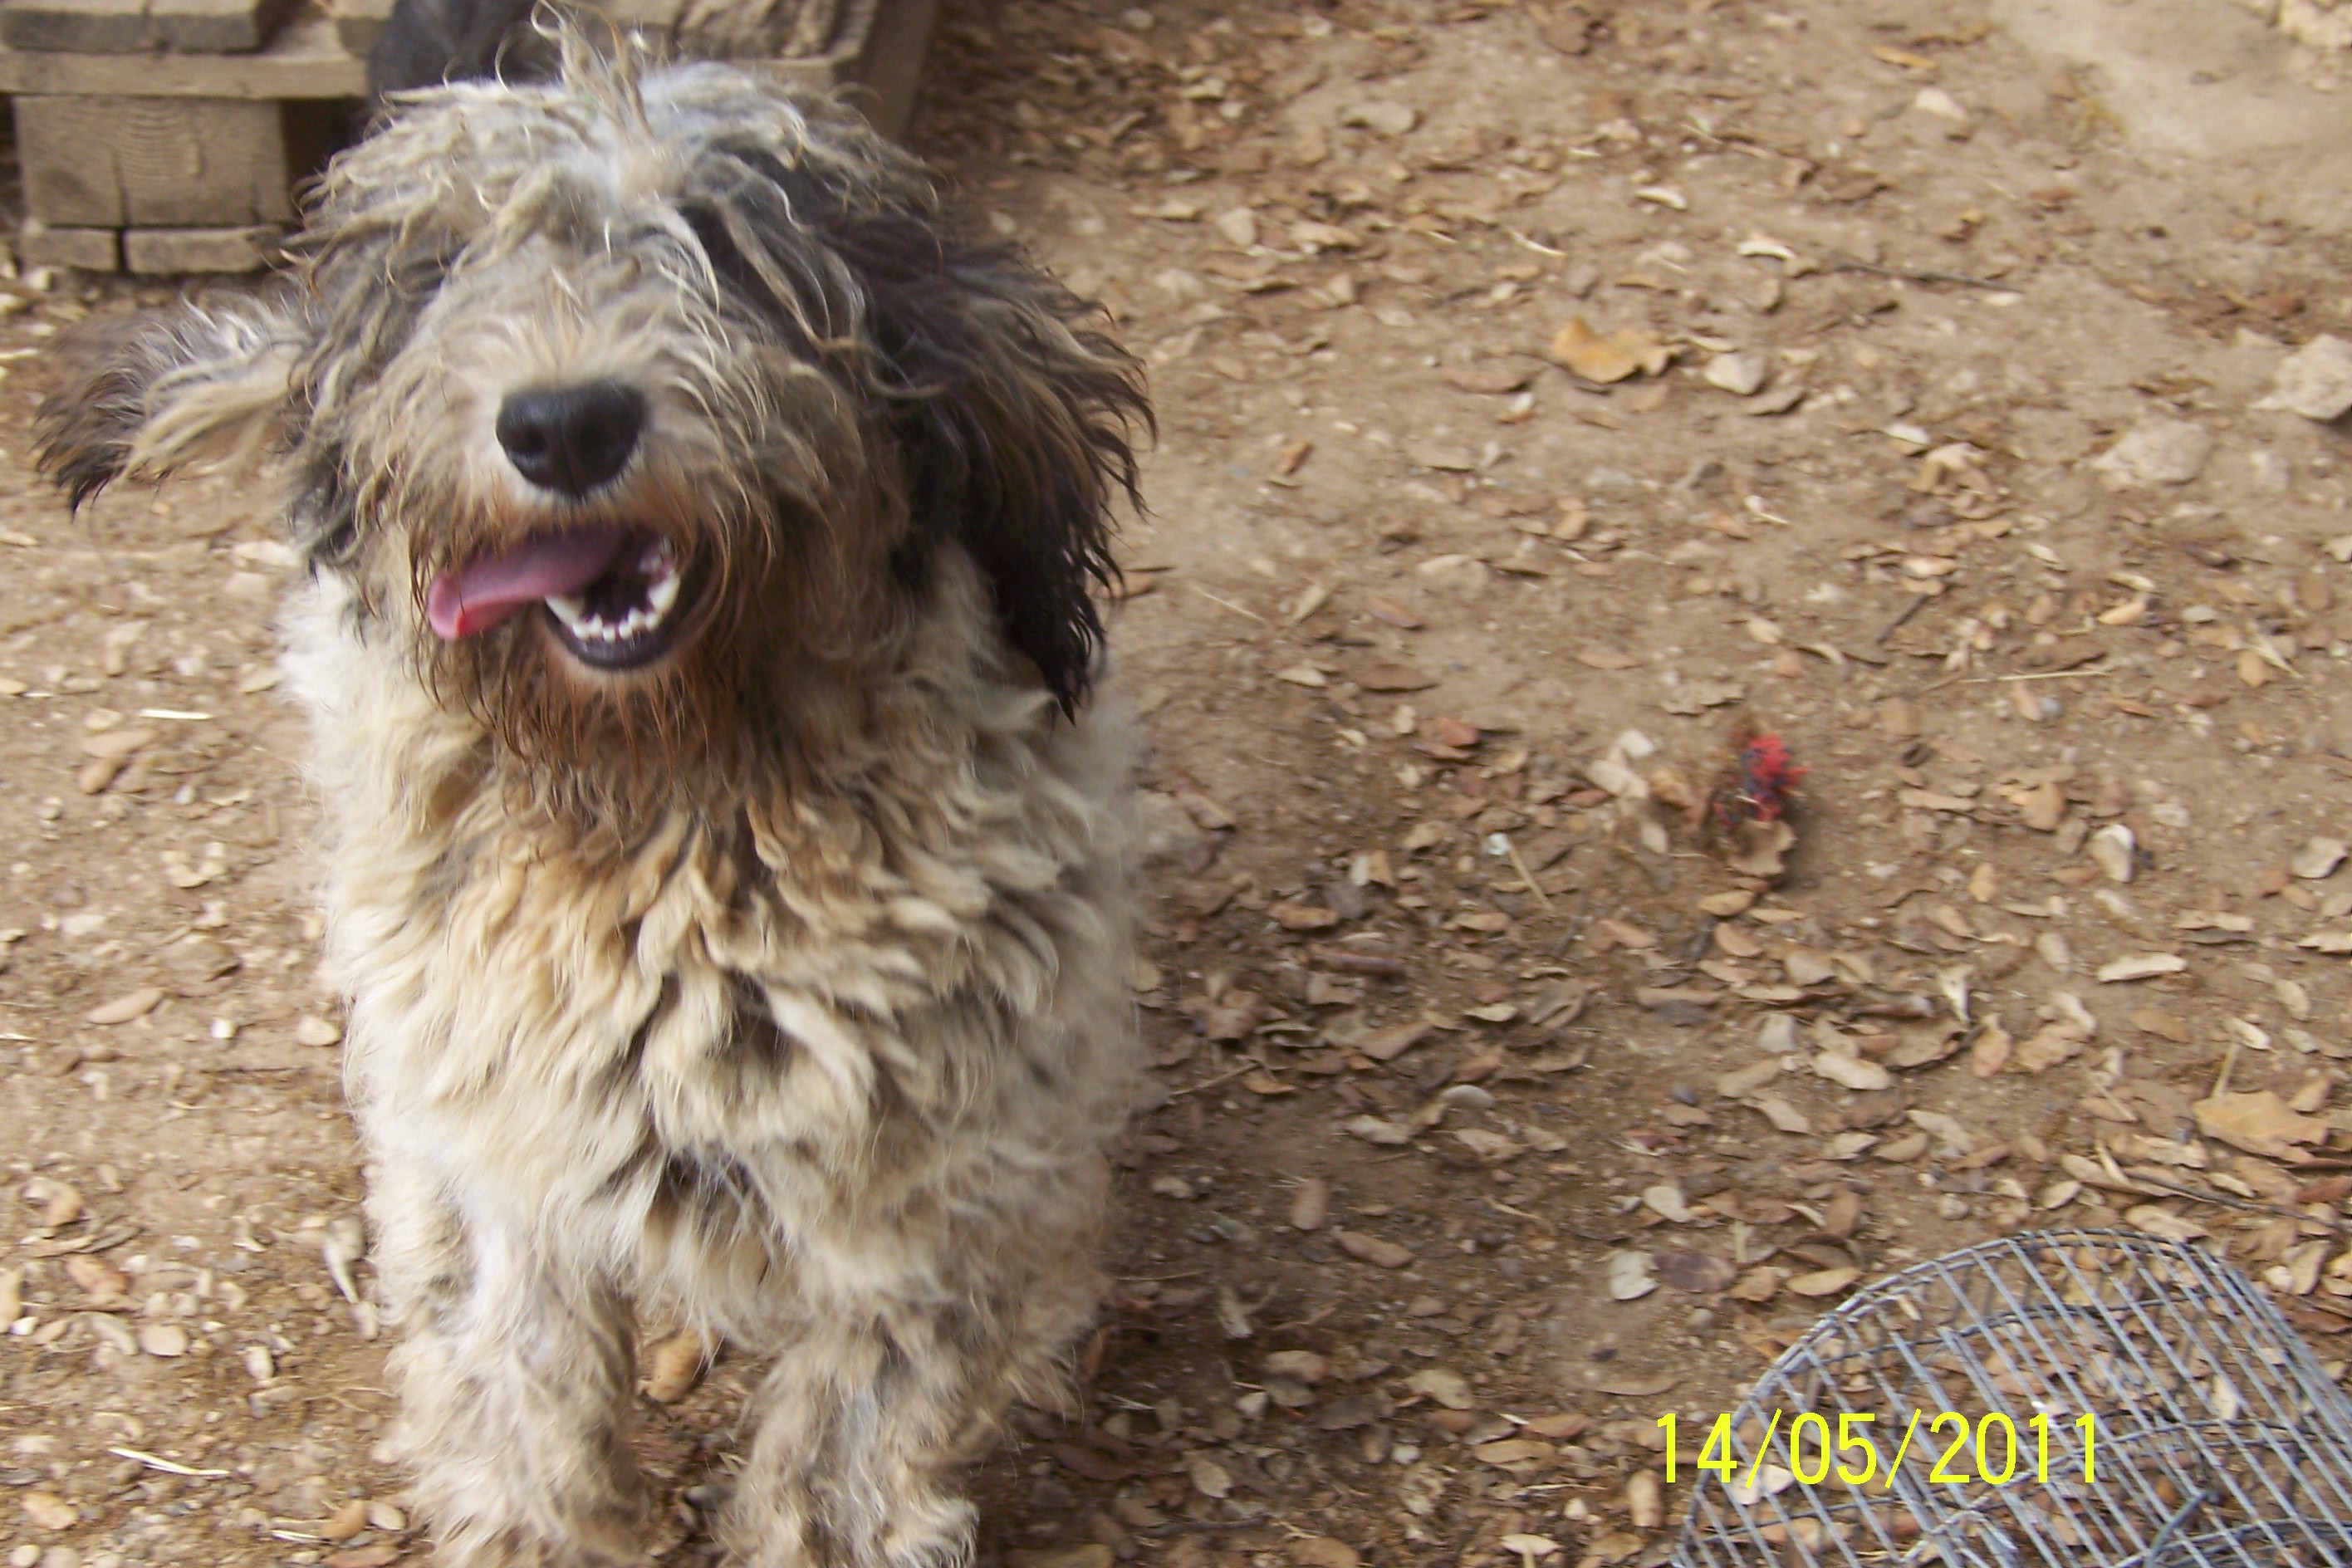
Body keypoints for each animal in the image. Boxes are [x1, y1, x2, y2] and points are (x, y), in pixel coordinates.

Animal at [43, 37, 1157, 1568]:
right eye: (452, 261)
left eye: (727, 247)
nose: (564, 424)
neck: (678, 816)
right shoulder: (508, 1150)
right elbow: (521, 1394)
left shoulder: (935, 1205)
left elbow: (845, 1453)